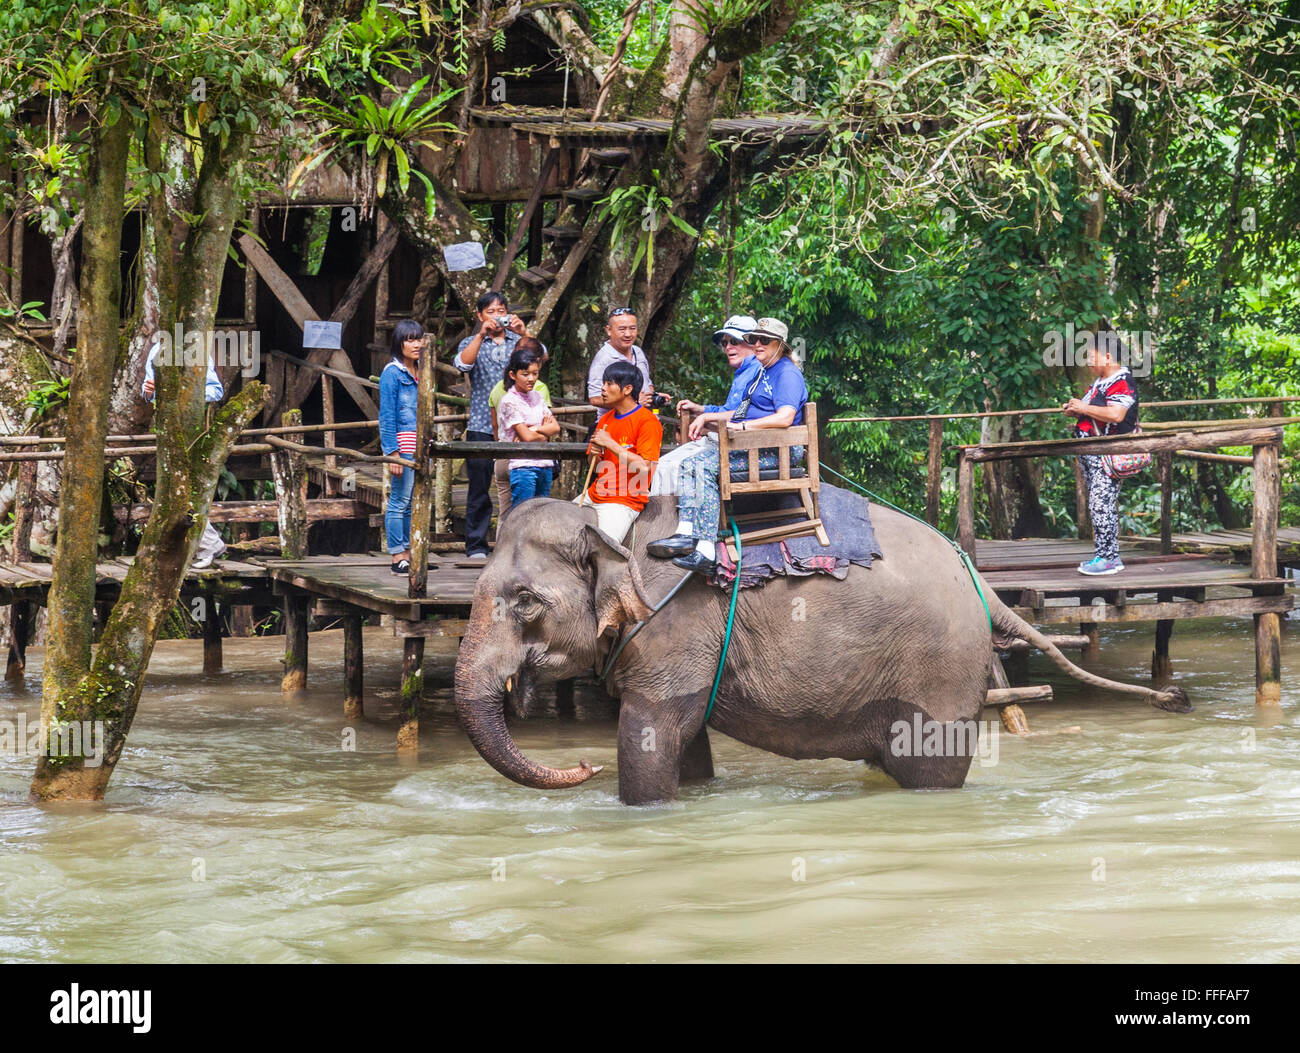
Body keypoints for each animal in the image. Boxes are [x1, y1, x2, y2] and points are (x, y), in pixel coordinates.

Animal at [454, 488, 1190, 800]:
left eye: (524, 600)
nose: (580, 767)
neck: (607, 523)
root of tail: (984, 581)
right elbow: (683, 742)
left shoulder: (675, 624)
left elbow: (650, 735)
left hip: (943, 668)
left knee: (928, 768)